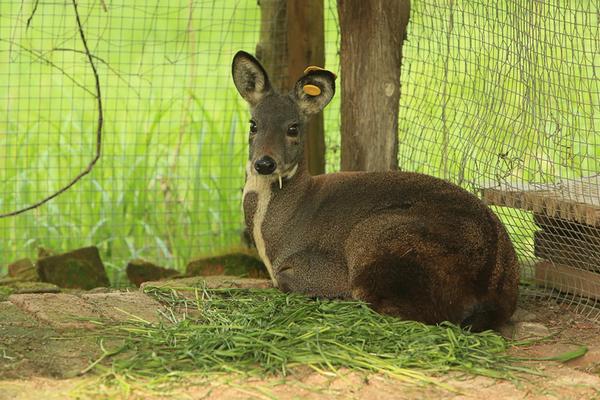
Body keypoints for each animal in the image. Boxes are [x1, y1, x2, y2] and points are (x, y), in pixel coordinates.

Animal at [232, 50, 516, 332]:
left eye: (293, 127)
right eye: (253, 124)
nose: (264, 163)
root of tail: (492, 284)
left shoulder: (323, 268)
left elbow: (290, 281)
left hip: (376, 235)